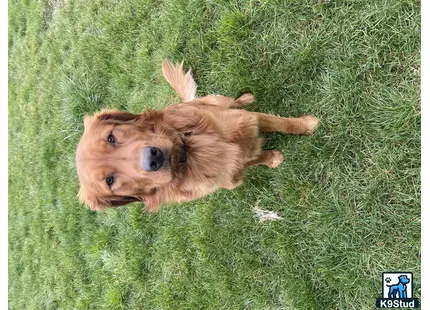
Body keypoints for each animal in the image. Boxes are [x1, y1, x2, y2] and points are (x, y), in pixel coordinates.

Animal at [74, 59, 320, 212]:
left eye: (111, 137)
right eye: (110, 181)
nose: (153, 157)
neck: (189, 152)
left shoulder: (248, 119)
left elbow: (283, 123)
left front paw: (308, 125)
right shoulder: (232, 172)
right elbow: (253, 158)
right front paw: (271, 158)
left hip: (217, 101)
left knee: (229, 101)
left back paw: (245, 97)